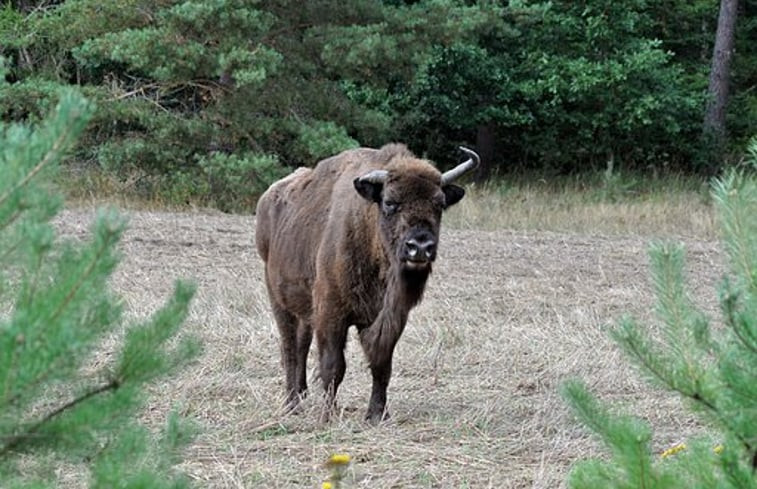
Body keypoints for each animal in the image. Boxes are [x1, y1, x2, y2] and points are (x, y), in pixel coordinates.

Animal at [256, 143, 476, 422]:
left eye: (439, 204)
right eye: (390, 202)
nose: (420, 247)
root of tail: (268, 198)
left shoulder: (388, 317)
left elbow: (381, 363)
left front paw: (377, 414)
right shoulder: (331, 313)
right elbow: (333, 365)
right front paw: (328, 415)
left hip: (303, 308)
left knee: (301, 344)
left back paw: (302, 394)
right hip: (278, 299)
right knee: (289, 348)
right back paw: (292, 403)